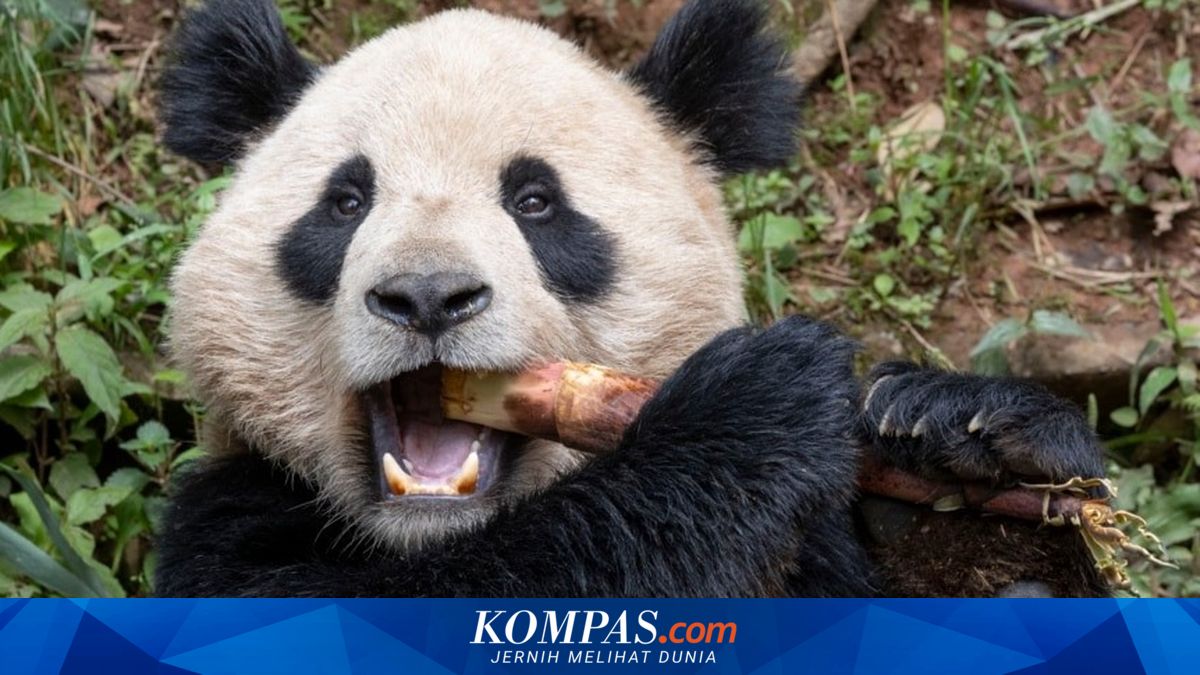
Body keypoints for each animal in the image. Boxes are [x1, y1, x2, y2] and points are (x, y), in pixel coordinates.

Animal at [154, 0, 1108, 597]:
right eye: (346, 202)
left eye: (536, 202)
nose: (426, 295)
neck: (435, 531)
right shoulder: (229, 519)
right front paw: (758, 404)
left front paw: (961, 443)